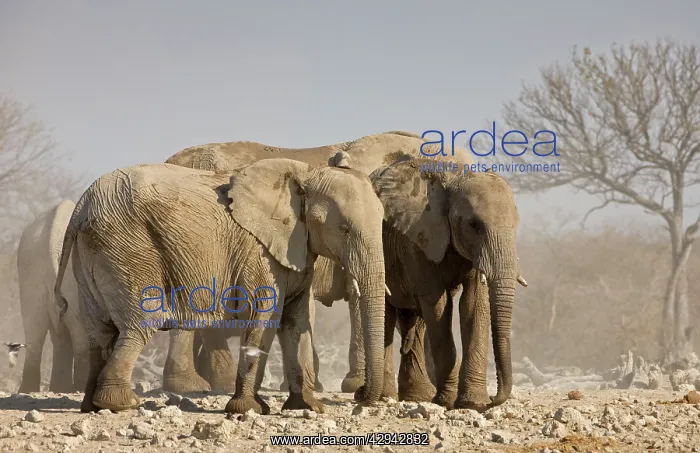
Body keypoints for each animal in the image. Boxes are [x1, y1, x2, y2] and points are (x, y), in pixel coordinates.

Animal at [53, 158, 387, 414]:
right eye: (343, 229)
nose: (361, 394)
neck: (306, 175)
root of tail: (81, 206)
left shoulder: (297, 250)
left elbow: (296, 322)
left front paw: (307, 408)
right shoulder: (259, 252)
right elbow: (264, 316)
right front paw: (250, 410)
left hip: (92, 255)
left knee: (98, 330)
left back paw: (90, 406)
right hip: (127, 248)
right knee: (142, 322)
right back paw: (122, 404)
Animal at [367, 157, 527, 410]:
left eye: (515, 225)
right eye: (473, 225)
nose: (494, 400)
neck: (455, 180)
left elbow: (473, 304)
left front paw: (472, 403)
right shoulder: (418, 238)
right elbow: (438, 304)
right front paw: (448, 402)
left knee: (415, 320)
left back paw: (417, 397)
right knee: (385, 315)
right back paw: (385, 397)